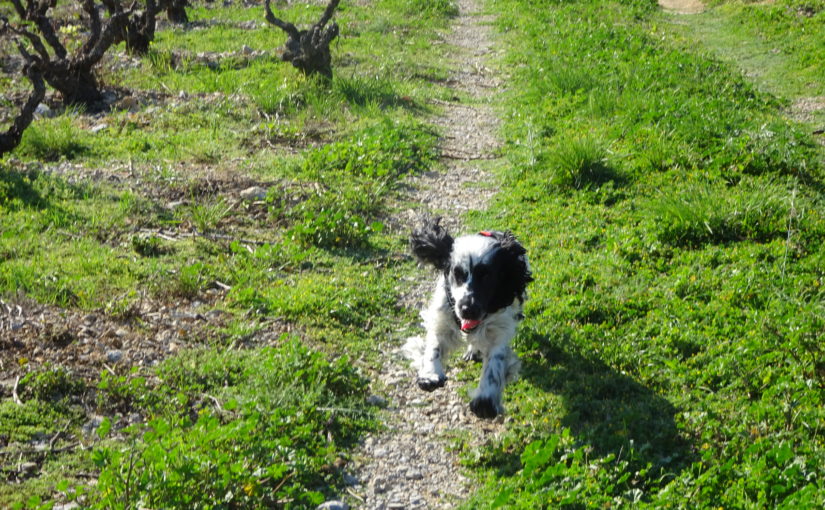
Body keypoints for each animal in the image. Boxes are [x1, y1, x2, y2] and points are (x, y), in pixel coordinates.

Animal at [402, 219, 532, 418]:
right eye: (457, 273)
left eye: (487, 276)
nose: (467, 309)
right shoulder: (443, 318)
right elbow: (434, 346)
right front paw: (430, 374)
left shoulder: (499, 331)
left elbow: (494, 365)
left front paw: (485, 400)